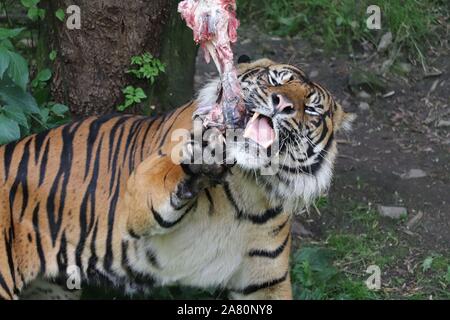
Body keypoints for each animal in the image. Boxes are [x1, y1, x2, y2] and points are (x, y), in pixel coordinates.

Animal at [0, 58, 356, 300]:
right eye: (275, 79)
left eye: (311, 109)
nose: (281, 104)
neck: (251, 185)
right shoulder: (138, 193)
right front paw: (205, 148)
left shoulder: (265, 283)